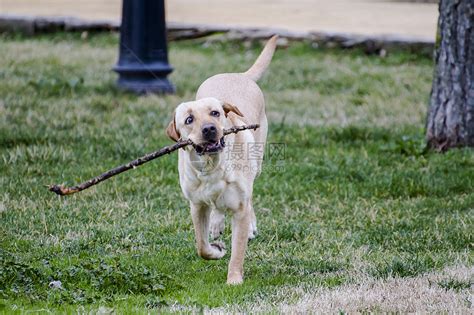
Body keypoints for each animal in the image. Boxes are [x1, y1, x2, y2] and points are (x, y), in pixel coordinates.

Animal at [167, 36, 278, 284]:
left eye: (216, 113)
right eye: (189, 120)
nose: (210, 129)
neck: (213, 166)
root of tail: (239, 74)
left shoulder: (240, 209)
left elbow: (238, 250)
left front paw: (234, 279)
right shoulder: (197, 206)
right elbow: (201, 246)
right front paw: (216, 250)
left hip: (257, 163)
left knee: (250, 195)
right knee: (217, 207)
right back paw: (216, 224)